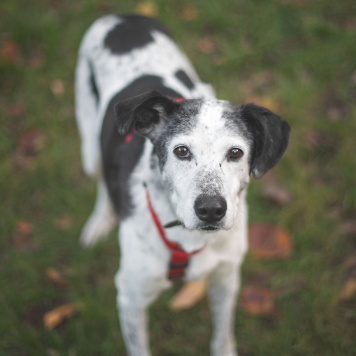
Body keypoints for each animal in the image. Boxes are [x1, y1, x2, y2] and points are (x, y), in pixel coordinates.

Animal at [74, 13, 290, 356]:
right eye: (181, 151)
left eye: (236, 153)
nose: (211, 210)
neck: (189, 239)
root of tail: (122, 17)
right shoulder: (130, 297)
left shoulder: (226, 278)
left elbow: (223, 335)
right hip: (89, 145)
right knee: (102, 183)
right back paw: (98, 223)